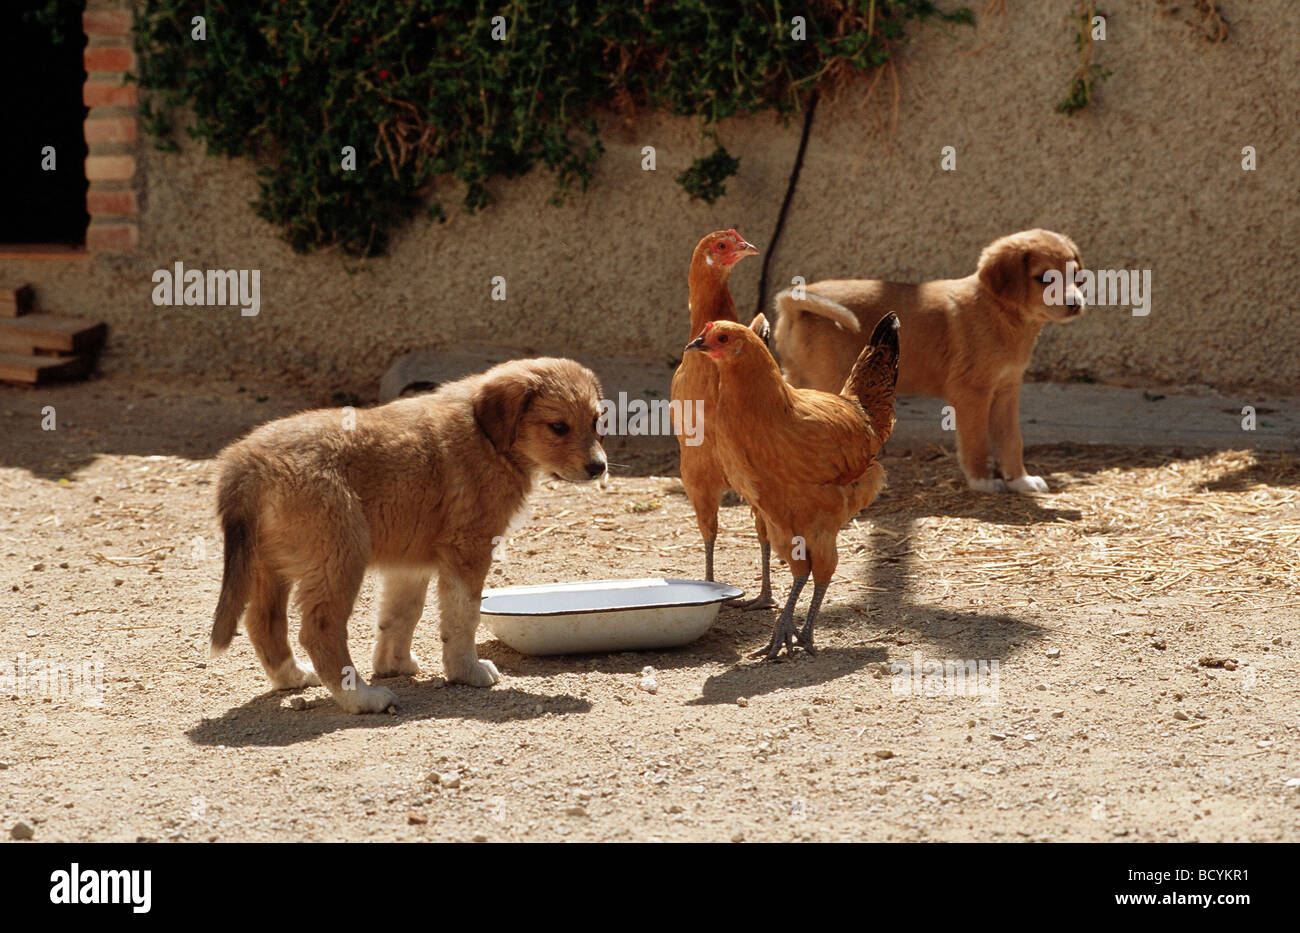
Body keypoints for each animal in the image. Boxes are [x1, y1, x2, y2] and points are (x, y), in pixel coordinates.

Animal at [208, 358, 603, 717]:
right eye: (558, 427)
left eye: (597, 421)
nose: (599, 467)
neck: (487, 437)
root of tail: (247, 463)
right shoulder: (469, 549)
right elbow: (462, 618)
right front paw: (467, 671)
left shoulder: (409, 561)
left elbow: (400, 615)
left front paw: (394, 664)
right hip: (340, 554)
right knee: (318, 630)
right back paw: (361, 698)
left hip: (268, 563)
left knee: (263, 621)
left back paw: (292, 677)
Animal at [769, 228, 1086, 493]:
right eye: (1044, 277)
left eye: (1074, 275)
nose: (1077, 304)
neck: (999, 312)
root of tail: (795, 304)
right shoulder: (971, 393)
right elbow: (977, 441)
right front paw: (982, 481)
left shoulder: (1007, 390)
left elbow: (1011, 440)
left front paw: (1020, 480)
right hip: (833, 382)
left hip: (800, 378)